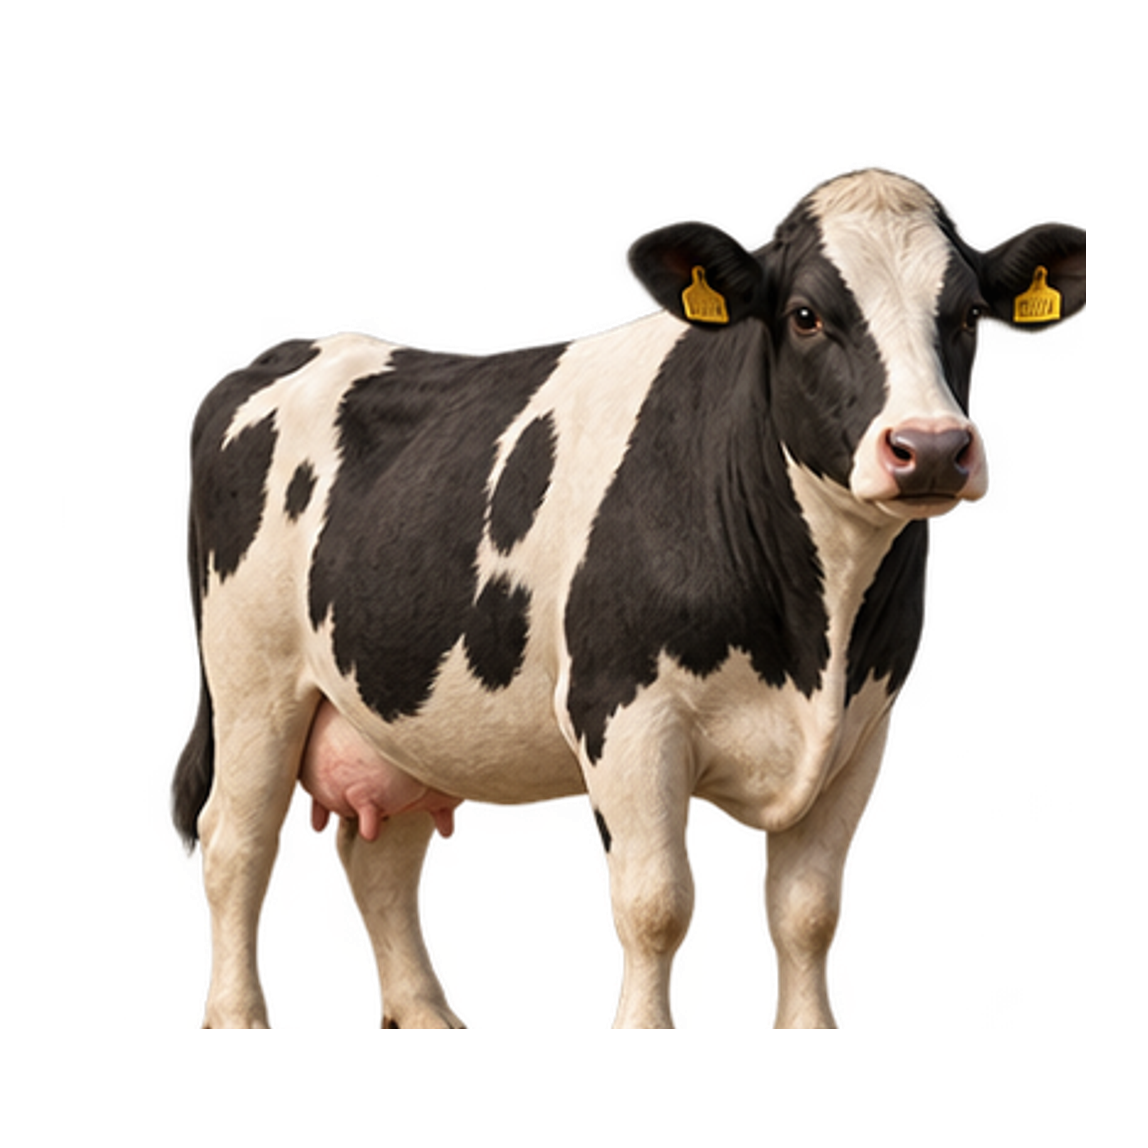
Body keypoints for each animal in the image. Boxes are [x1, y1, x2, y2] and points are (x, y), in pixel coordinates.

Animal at [169, 165, 1086, 1028]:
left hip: (391, 718)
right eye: (805, 316)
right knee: (235, 842)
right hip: (252, 684)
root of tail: (284, 354)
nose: (929, 448)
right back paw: (238, 1014)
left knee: (382, 858)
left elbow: (807, 912)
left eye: (969, 316)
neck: (810, 634)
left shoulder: (862, 729)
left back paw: (429, 1013)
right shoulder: (626, 711)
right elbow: (656, 907)